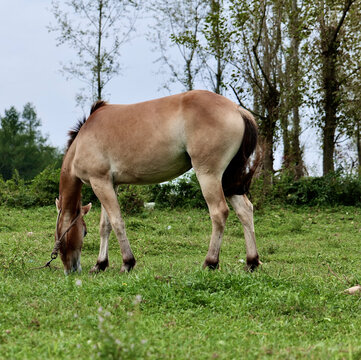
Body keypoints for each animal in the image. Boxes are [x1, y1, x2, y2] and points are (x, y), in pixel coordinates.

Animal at [53, 89, 260, 272]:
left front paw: (127, 263)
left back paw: (210, 262)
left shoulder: (100, 182)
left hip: (209, 175)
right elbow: (106, 226)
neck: (83, 139)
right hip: (229, 181)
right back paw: (252, 262)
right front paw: (100, 264)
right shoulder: (110, 184)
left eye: (83, 232)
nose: (71, 269)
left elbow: (117, 221)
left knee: (219, 212)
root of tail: (237, 109)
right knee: (245, 210)